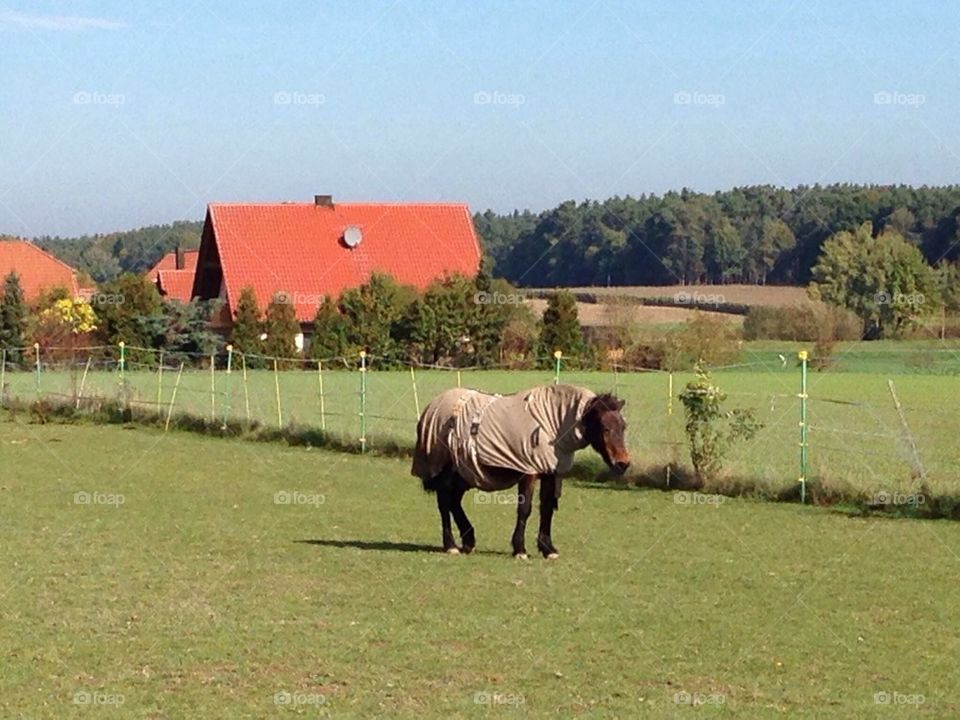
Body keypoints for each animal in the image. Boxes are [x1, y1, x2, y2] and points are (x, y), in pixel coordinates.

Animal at [410, 386, 632, 560]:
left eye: (623, 427)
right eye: (605, 428)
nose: (623, 463)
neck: (550, 425)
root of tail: (433, 406)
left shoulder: (550, 473)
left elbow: (547, 509)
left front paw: (547, 548)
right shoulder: (529, 472)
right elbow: (525, 509)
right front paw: (520, 549)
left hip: (464, 472)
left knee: (454, 501)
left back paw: (468, 541)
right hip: (447, 472)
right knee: (444, 502)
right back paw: (451, 545)